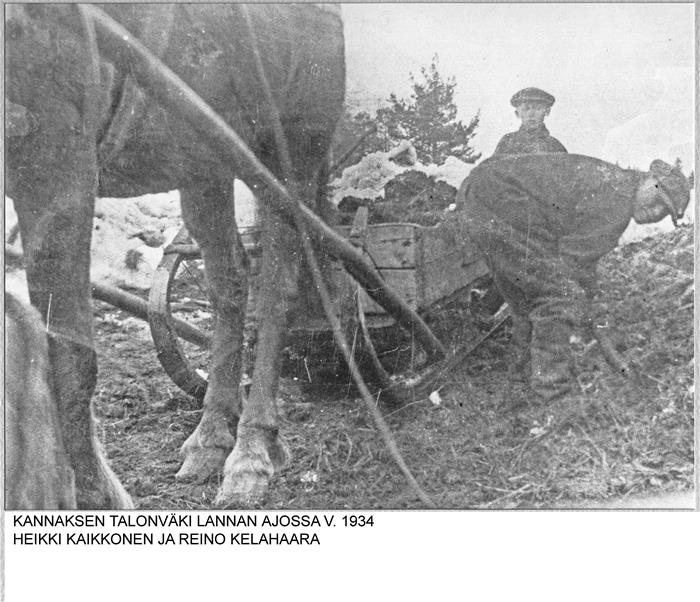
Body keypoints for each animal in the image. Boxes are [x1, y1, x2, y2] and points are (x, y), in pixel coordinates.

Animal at [5, 3, 345, 508]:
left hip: (290, 161)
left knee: (276, 291)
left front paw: (96, 495)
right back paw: (212, 436)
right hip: (204, 164)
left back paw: (253, 450)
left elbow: (70, 357)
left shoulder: (57, 169)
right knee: (230, 282)